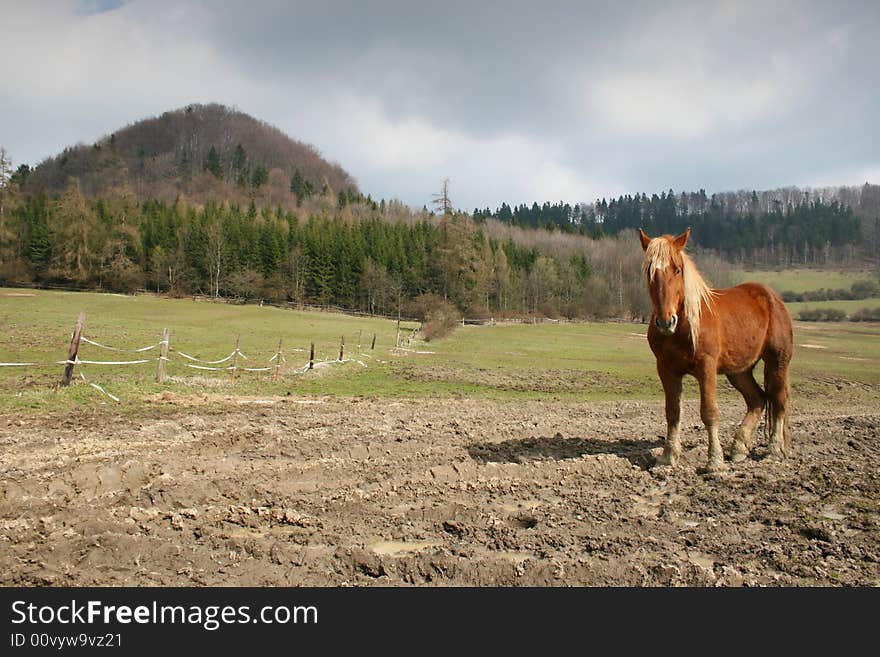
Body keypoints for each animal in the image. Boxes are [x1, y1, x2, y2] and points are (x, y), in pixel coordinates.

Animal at [636, 227, 796, 472]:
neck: (684, 326)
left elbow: (709, 413)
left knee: (778, 400)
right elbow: (672, 412)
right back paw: (739, 448)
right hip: (739, 370)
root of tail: (773, 298)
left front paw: (714, 462)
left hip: (777, 362)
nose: (665, 322)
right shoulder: (666, 369)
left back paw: (774, 450)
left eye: (677, 269)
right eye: (649, 272)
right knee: (757, 399)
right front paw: (667, 457)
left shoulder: (707, 368)